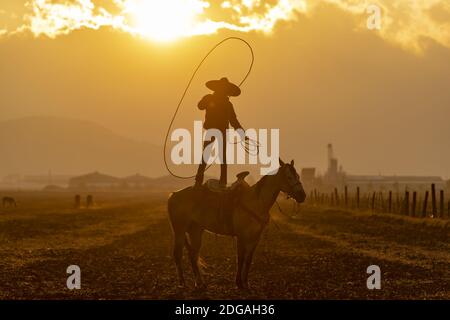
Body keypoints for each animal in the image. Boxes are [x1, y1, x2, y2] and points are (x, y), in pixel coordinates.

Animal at [167, 159, 308, 288]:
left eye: (298, 176)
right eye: (288, 177)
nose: (302, 196)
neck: (256, 201)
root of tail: (173, 195)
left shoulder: (255, 238)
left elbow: (248, 259)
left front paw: (245, 282)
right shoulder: (241, 236)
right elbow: (240, 258)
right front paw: (239, 282)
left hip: (195, 230)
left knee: (193, 255)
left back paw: (200, 282)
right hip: (179, 230)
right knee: (177, 254)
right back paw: (182, 283)